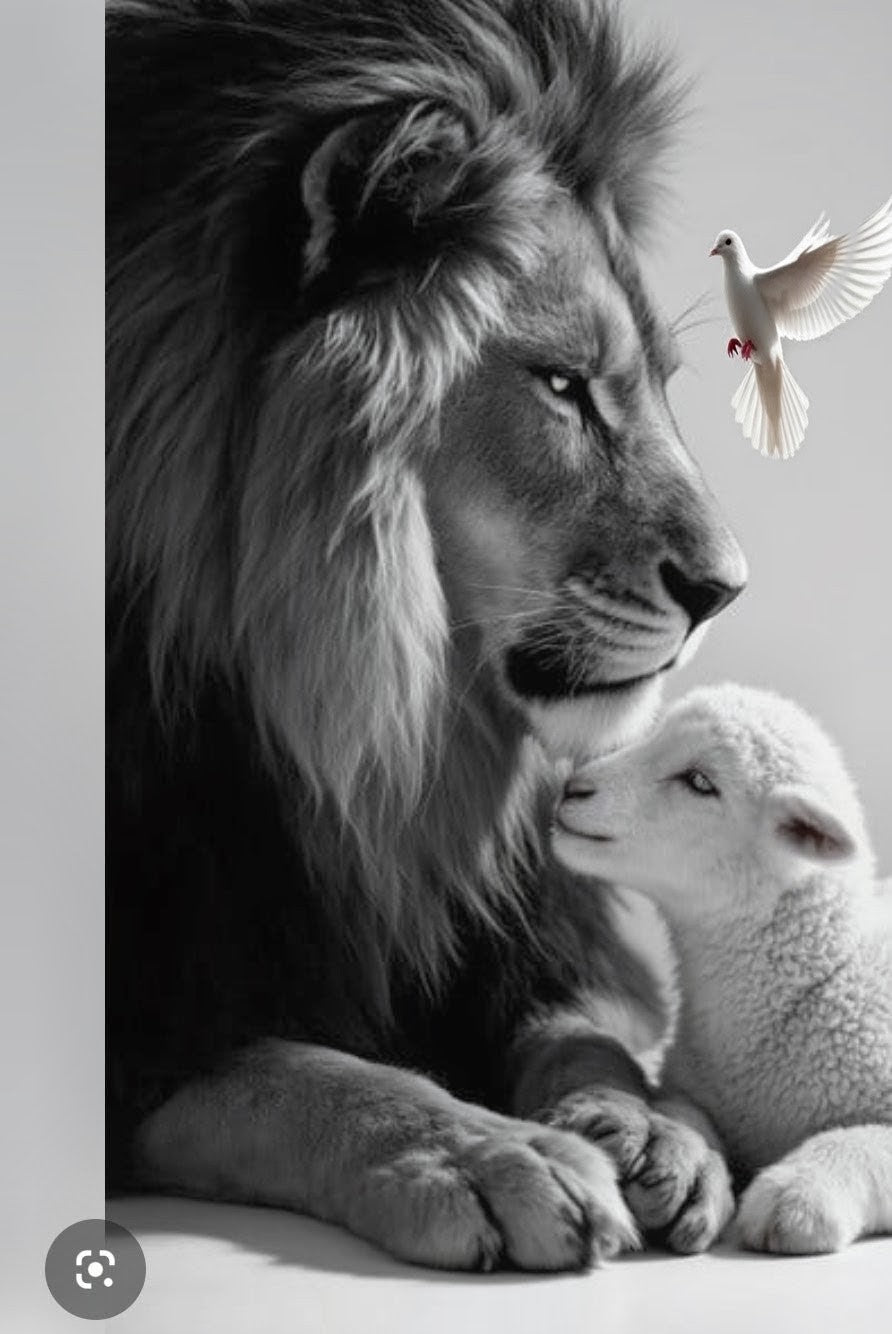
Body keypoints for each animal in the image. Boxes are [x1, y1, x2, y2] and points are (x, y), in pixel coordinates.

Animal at [106, 0, 747, 1270]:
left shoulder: (538, 926)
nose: (724, 588)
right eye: (561, 384)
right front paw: (485, 1151)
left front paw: (654, 1128)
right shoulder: (149, 1014)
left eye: (659, 381)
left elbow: (594, 1033)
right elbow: (291, 1068)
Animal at [552, 683, 892, 1254]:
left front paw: (796, 1197)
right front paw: (683, 1158)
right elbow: (680, 1113)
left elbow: (866, 1141)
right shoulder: (690, 1088)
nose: (571, 788)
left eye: (700, 782)